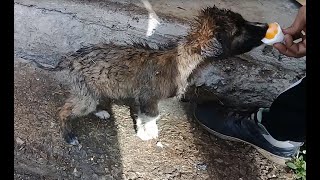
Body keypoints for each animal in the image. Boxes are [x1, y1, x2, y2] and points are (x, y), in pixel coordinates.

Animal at [35, 5, 268, 145]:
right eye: (238, 30)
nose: (266, 26)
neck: (185, 57)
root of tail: (70, 58)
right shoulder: (149, 97)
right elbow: (152, 116)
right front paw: (147, 134)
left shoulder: (143, 97)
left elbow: (144, 115)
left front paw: (143, 130)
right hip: (85, 94)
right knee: (64, 111)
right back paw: (69, 135)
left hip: (95, 87)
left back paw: (101, 112)